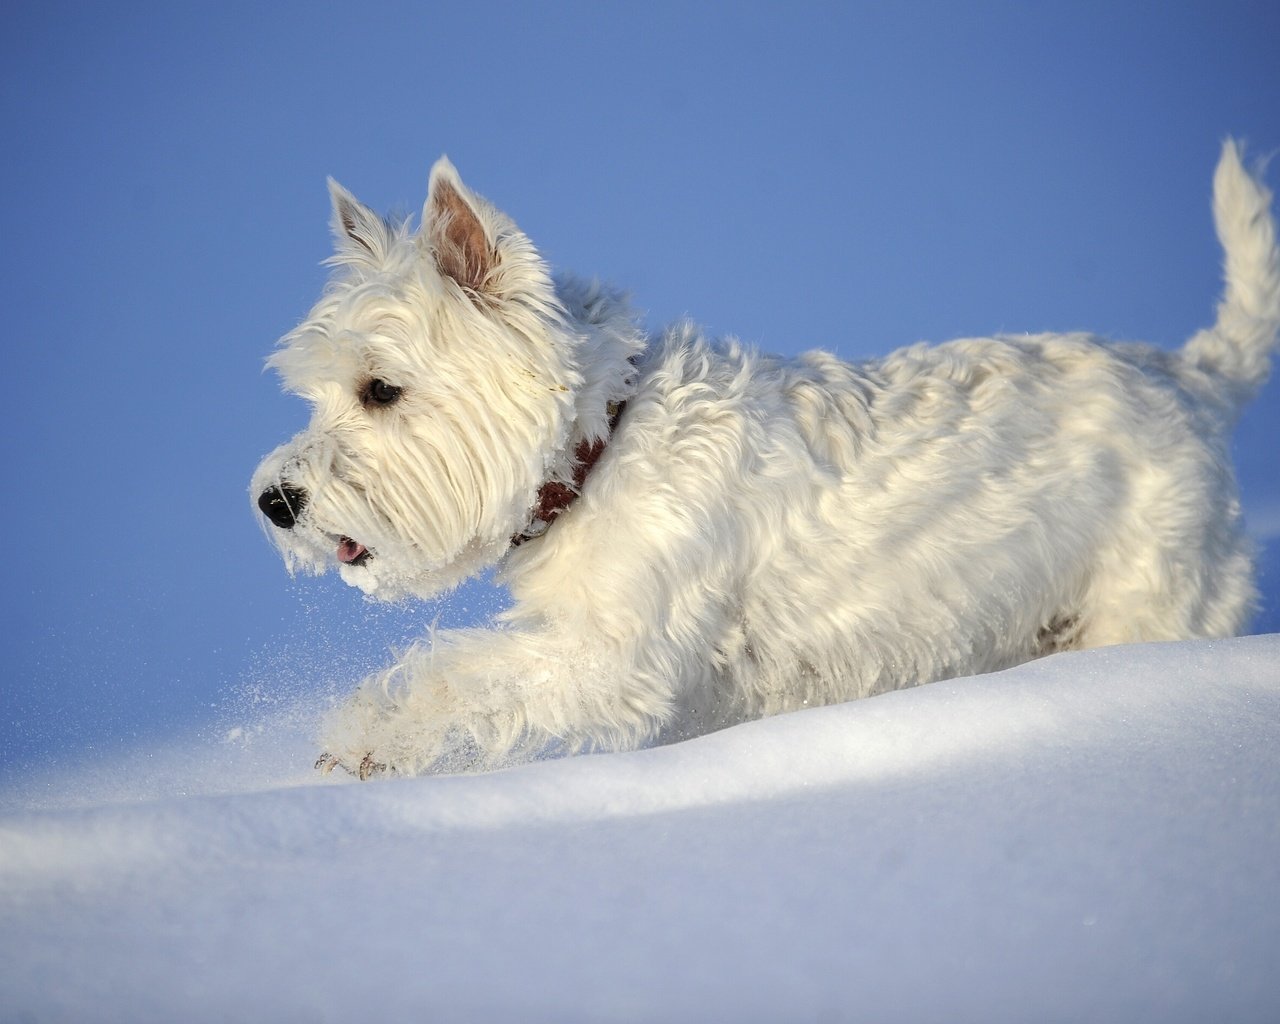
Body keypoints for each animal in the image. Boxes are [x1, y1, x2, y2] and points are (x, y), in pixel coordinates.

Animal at [252, 142, 1280, 778]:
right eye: (316, 395)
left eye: (380, 390)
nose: (274, 500)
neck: (600, 448)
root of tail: (1193, 375)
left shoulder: (614, 654)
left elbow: (460, 670)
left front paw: (363, 739)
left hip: (1151, 597)